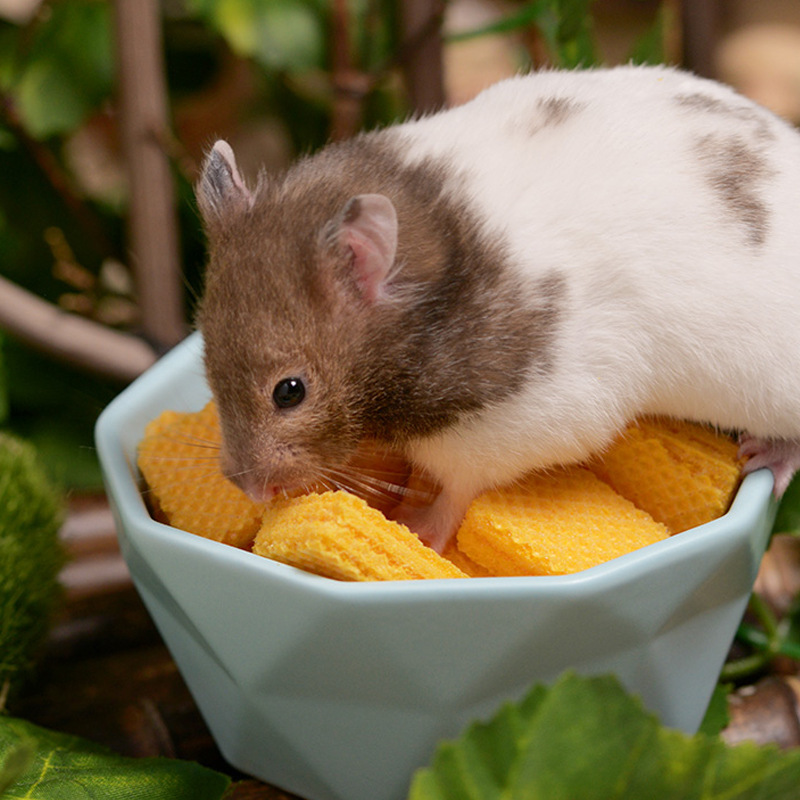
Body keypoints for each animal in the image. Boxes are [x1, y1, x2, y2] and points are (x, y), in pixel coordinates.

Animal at [194, 64, 800, 552]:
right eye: (208, 368)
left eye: (289, 392)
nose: (248, 488)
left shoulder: (520, 423)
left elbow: (458, 488)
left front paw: (417, 528)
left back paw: (763, 458)